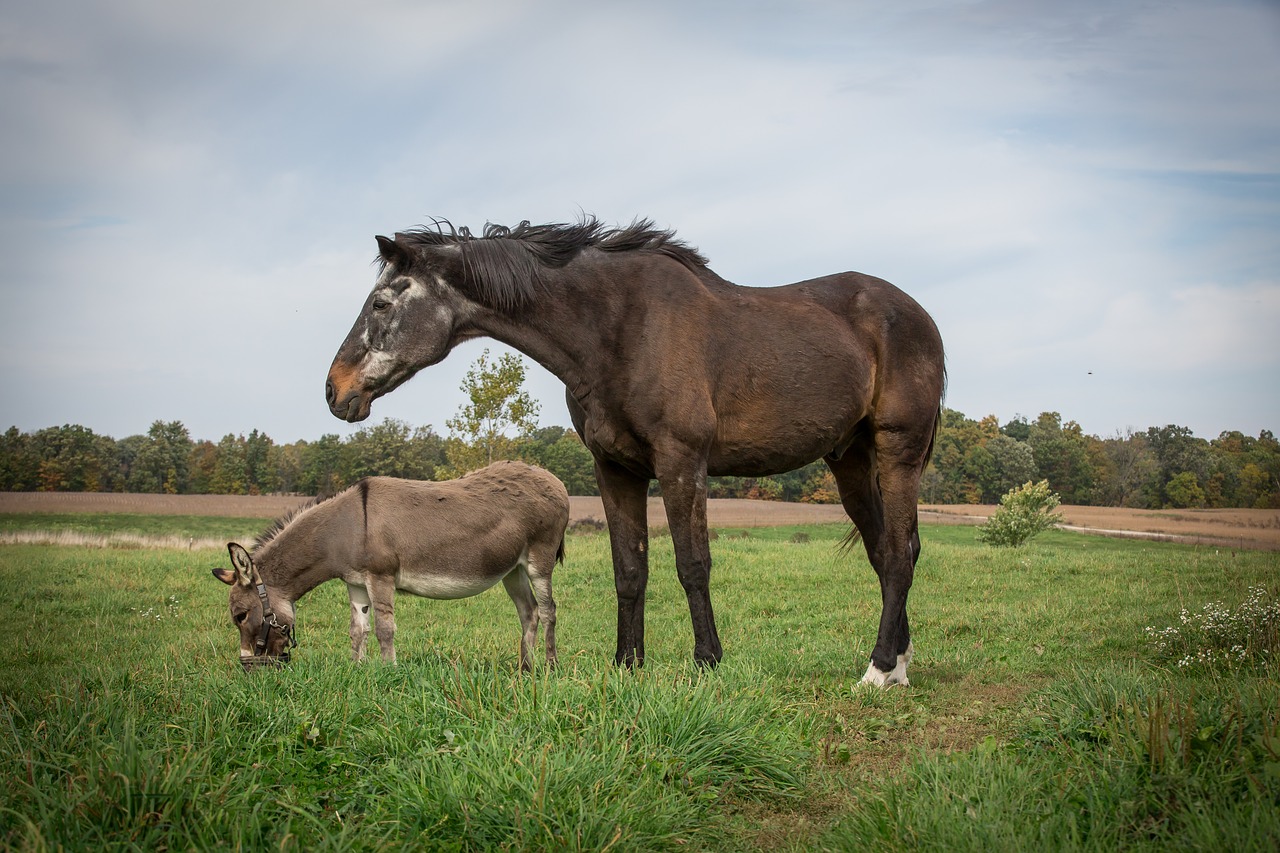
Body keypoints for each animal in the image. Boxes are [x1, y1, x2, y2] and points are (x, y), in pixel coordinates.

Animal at [325, 219, 947, 686]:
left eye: (381, 303)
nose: (335, 390)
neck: (619, 327)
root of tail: (918, 315)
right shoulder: (615, 470)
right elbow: (629, 568)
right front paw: (627, 663)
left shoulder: (681, 463)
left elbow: (692, 564)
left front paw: (708, 661)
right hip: (849, 459)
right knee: (886, 551)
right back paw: (900, 662)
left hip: (898, 450)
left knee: (898, 553)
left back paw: (878, 670)